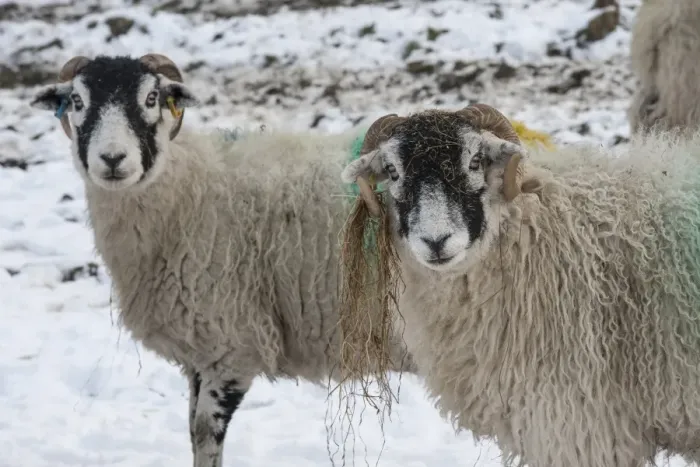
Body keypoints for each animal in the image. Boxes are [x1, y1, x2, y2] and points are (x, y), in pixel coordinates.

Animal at [29, 53, 416, 467]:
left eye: (151, 98)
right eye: (77, 100)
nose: (113, 159)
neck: (189, 189)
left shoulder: (231, 343)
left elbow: (203, 432)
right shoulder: (200, 351)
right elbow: (191, 431)